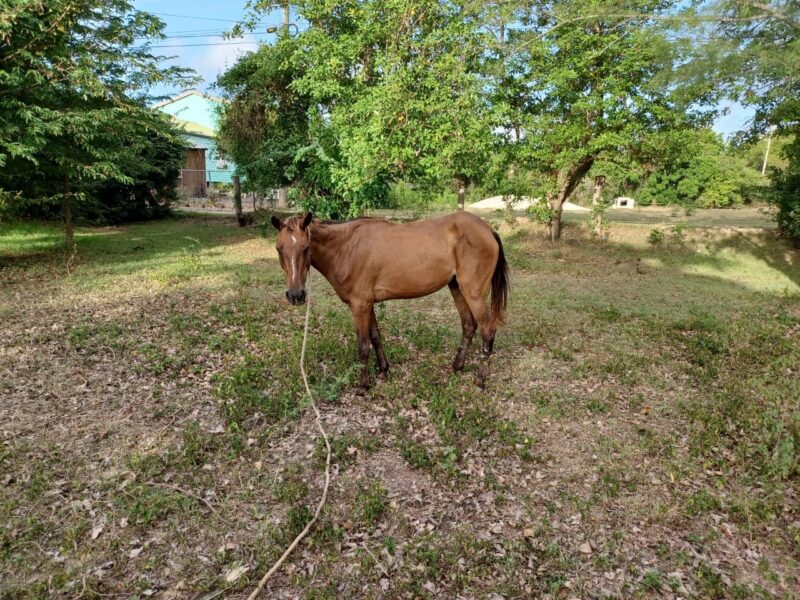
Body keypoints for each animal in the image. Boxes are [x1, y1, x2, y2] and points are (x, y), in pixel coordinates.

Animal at [270, 211, 509, 390]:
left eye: (305, 248)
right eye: (279, 248)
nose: (296, 295)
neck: (346, 247)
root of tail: (487, 229)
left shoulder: (360, 305)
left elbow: (363, 345)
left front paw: (363, 386)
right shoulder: (367, 304)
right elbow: (375, 337)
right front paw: (383, 370)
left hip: (473, 292)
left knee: (487, 330)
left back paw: (480, 380)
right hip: (457, 287)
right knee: (468, 325)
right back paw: (457, 367)